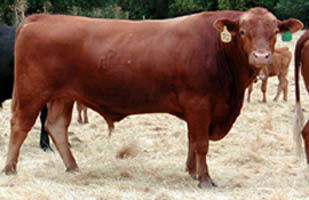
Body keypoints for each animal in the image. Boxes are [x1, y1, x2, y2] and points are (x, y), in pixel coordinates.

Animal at [3, 8, 300, 189]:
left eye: (274, 32)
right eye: (243, 32)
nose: (261, 57)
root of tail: (39, 18)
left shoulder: (198, 109)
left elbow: (192, 140)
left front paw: (192, 171)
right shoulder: (199, 104)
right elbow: (201, 143)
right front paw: (205, 179)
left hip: (64, 95)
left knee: (56, 127)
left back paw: (73, 167)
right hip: (32, 92)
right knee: (20, 126)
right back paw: (10, 169)